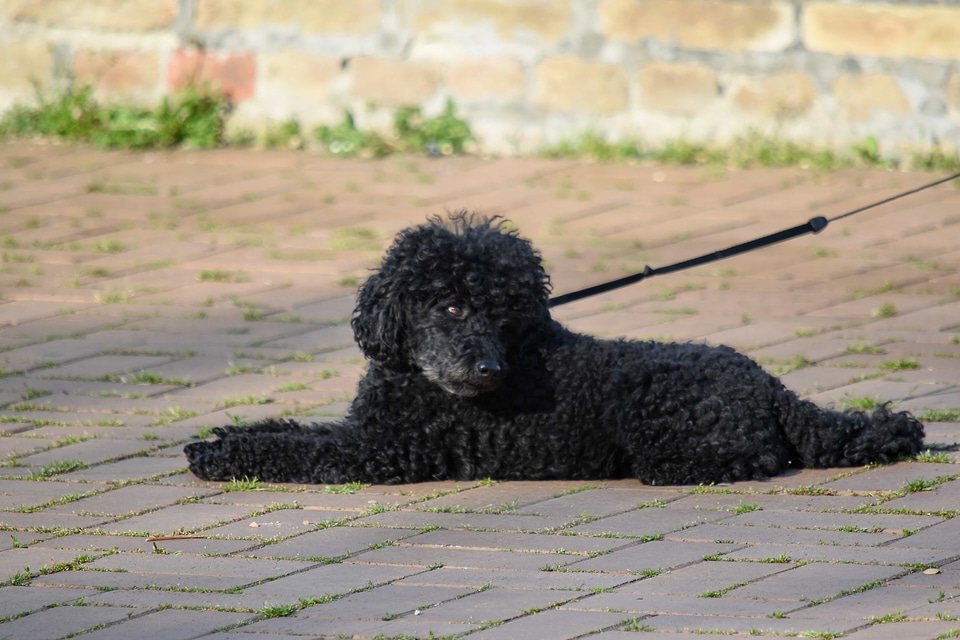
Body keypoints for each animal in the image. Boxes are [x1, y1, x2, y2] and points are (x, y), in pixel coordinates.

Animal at [184, 215, 928, 484]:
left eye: (508, 315)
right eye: (452, 306)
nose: (488, 368)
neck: (419, 379)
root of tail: (772, 385)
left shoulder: (384, 452)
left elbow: (295, 451)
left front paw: (219, 455)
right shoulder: (366, 430)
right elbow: (291, 429)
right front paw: (224, 435)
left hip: (655, 413)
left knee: (757, 459)